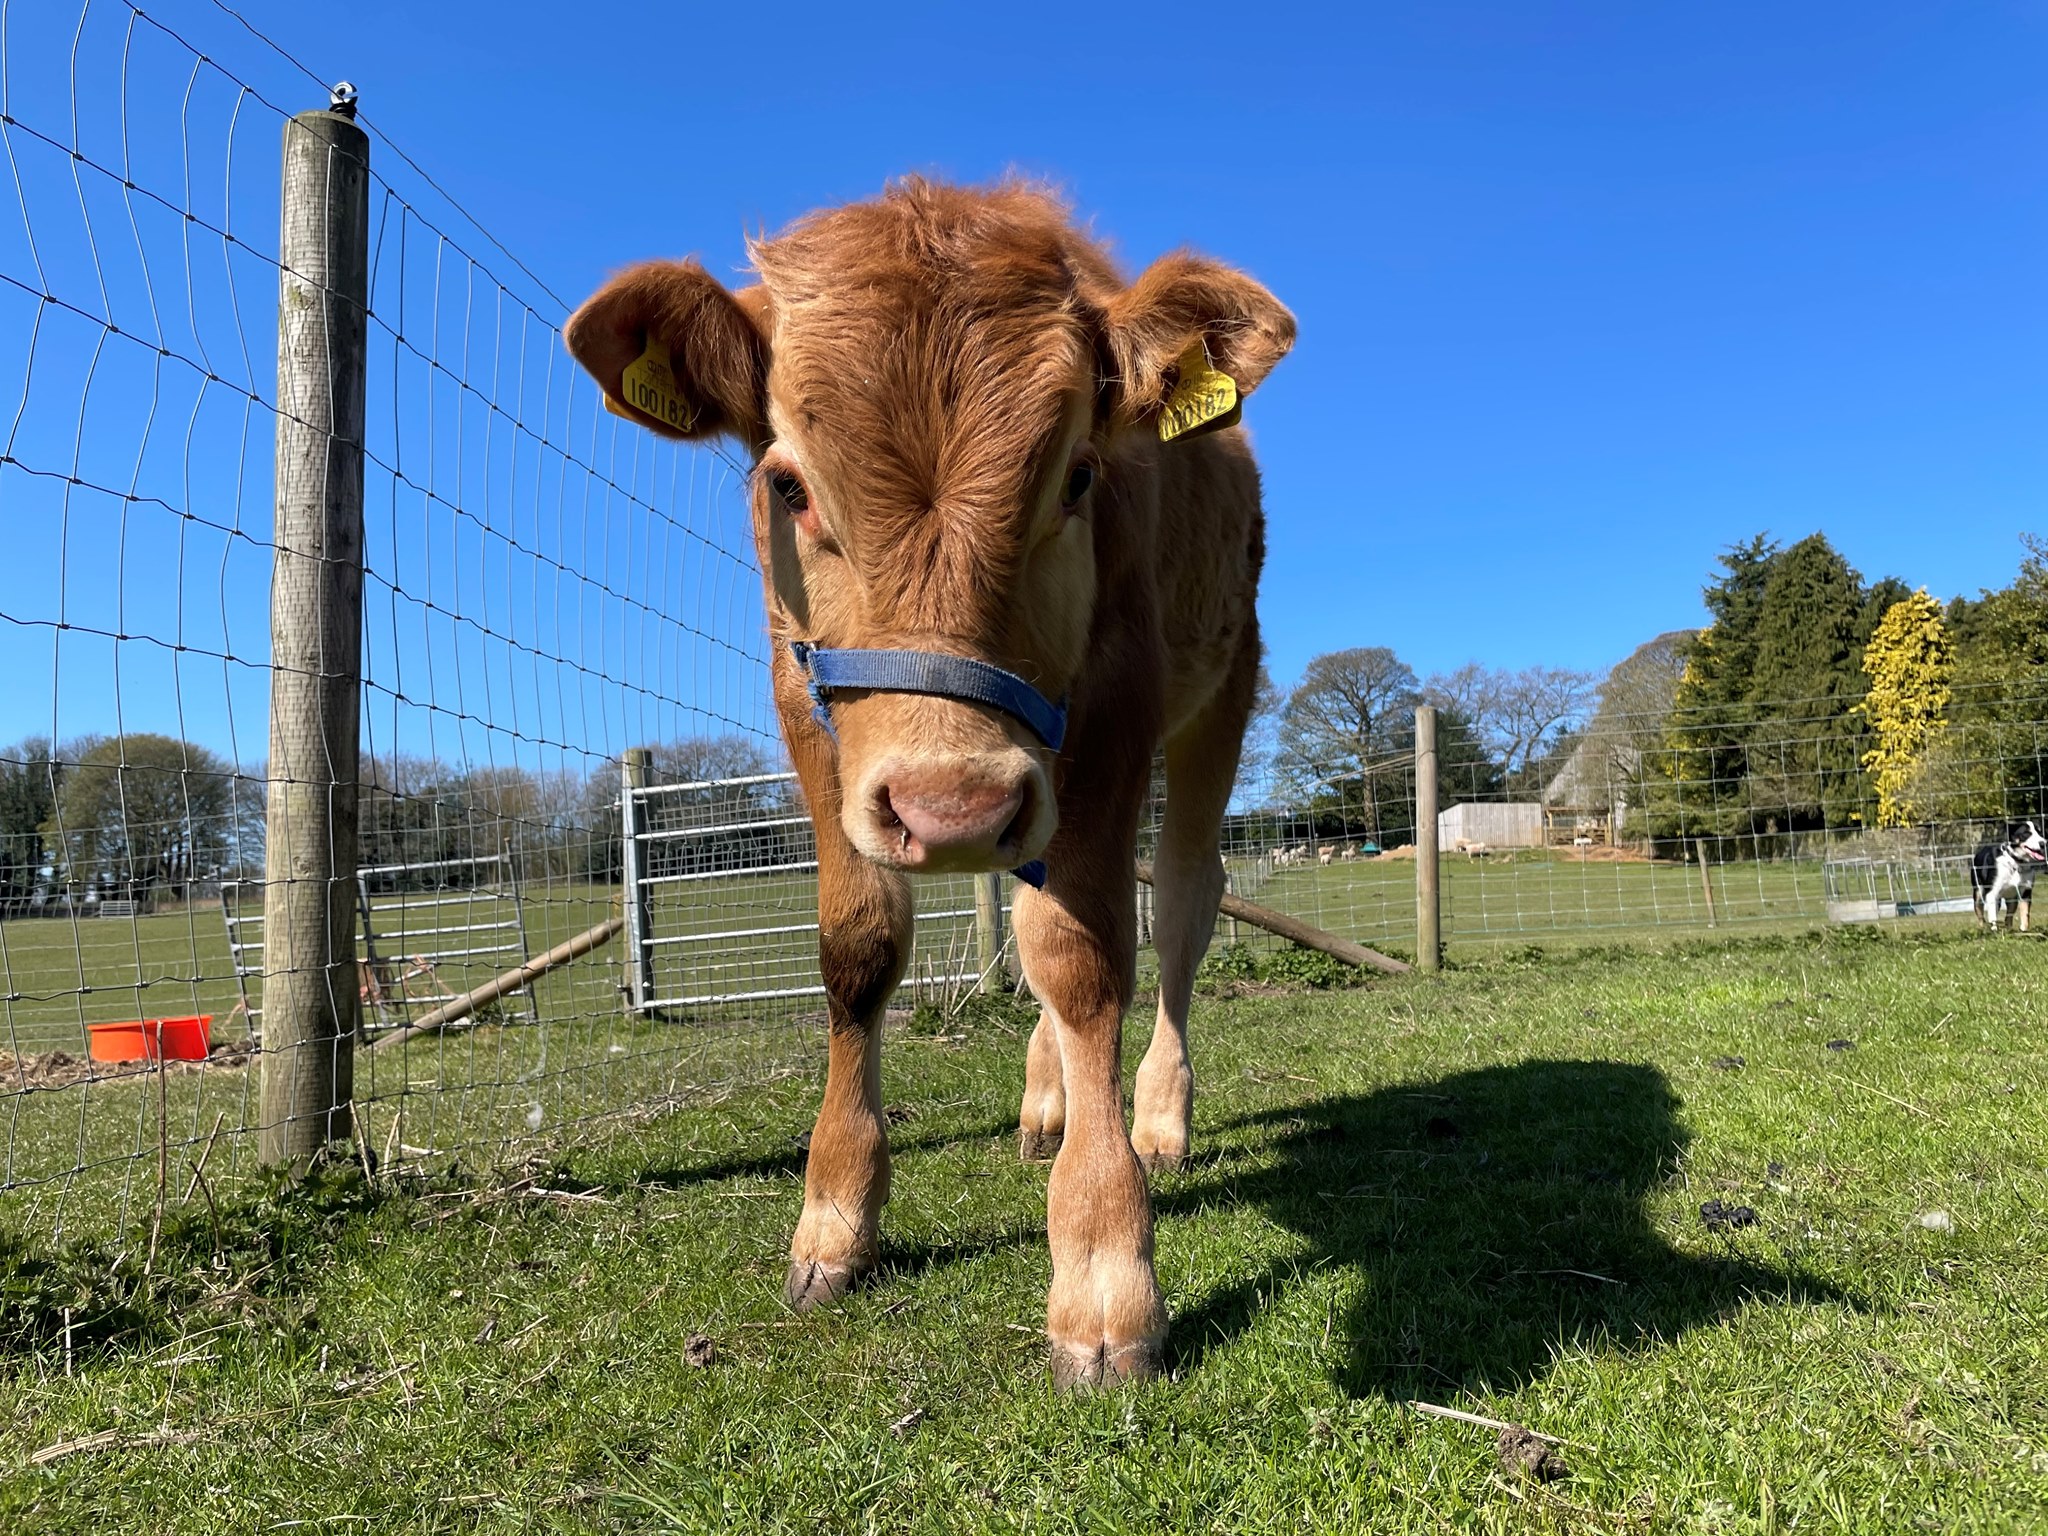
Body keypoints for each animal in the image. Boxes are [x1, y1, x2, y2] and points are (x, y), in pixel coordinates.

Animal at [566, 180, 1293, 1386]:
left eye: (1078, 475)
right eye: (789, 485)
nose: (952, 810)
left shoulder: (1119, 698)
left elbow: (1084, 957)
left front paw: (1104, 1269)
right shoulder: (807, 702)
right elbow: (859, 951)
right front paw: (834, 1220)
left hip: (1216, 692)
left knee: (1183, 903)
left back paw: (1155, 1117)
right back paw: (1047, 1101)